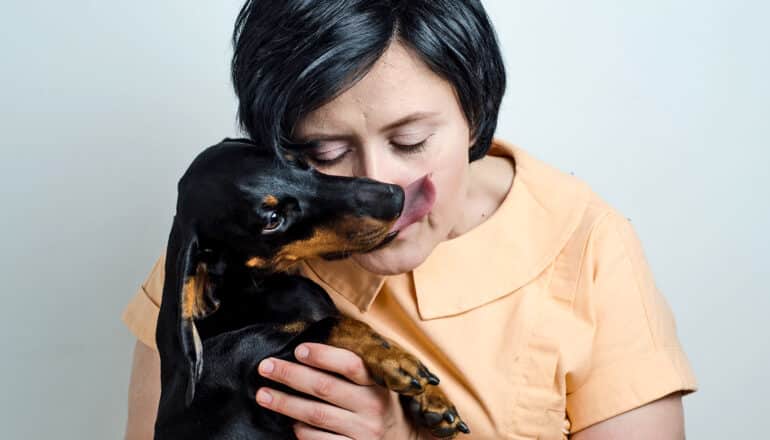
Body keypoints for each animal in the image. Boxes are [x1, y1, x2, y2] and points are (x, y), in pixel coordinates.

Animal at [154, 138, 468, 440]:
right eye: (273, 220)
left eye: (296, 161)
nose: (396, 197)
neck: (255, 289)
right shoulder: (264, 379)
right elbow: (330, 325)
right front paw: (394, 359)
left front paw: (434, 399)